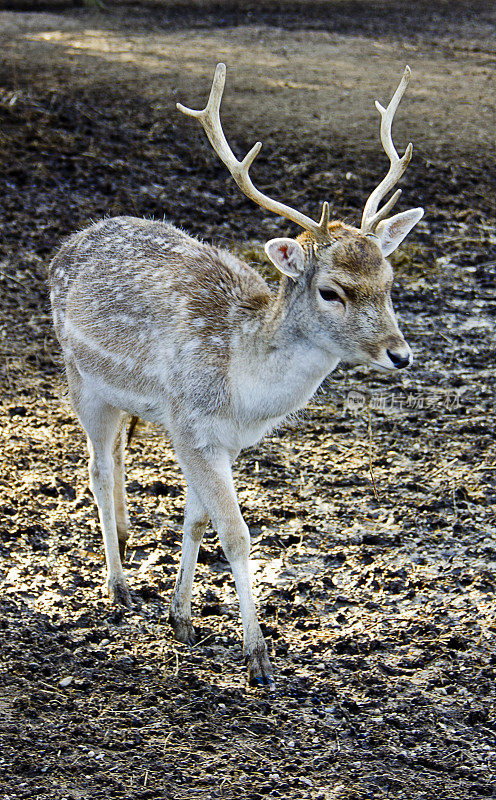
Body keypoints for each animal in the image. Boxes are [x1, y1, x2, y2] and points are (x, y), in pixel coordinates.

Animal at [49, 61, 422, 688]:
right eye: (332, 291)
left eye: (390, 281)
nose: (400, 354)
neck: (243, 388)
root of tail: (65, 247)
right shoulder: (191, 425)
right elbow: (236, 533)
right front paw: (258, 658)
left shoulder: (221, 439)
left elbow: (196, 520)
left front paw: (181, 618)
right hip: (82, 379)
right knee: (97, 471)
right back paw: (119, 586)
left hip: (123, 399)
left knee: (119, 457)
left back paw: (126, 541)